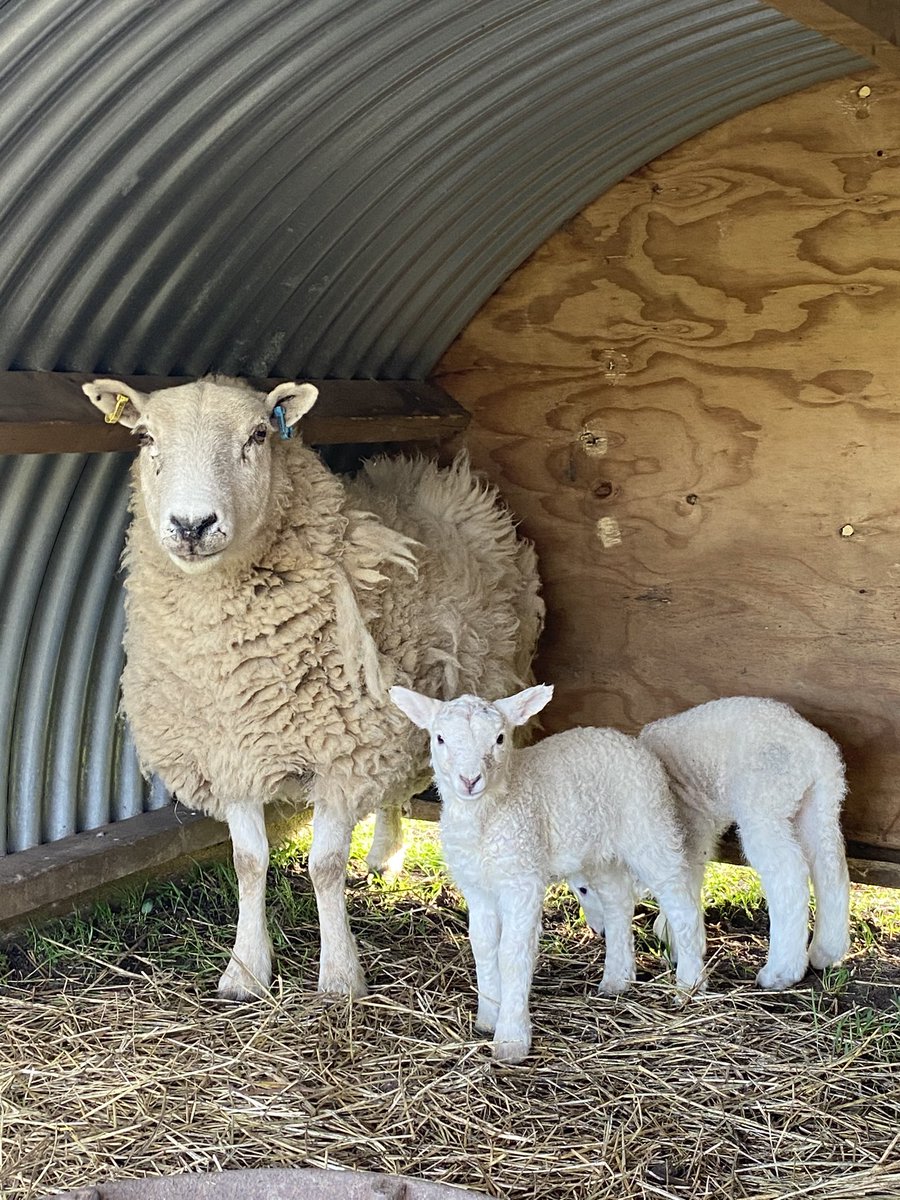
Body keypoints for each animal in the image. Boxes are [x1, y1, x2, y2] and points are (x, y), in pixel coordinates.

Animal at [82, 375, 543, 1000]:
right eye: (146, 437)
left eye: (258, 435)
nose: (191, 526)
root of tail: (432, 471)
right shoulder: (233, 753)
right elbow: (248, 862)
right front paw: (245, 971)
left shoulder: (345, 752)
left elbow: (323, 867)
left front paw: (340, 976)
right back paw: (383, 856)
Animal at [389, 683, 706, 1063]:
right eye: (439, 738)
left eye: (499, 738)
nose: (469, 780)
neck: (488, 815)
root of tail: (625, 741)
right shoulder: (477, 887)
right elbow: (483, 947)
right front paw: (487, 1018)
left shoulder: (521, 877)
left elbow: (512, 953)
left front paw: (511, 1038)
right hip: (600, 853)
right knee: (617, 903)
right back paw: (616, 981)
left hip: (649, 825)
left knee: (680, 903)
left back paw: (689, 985)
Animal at [639, 696, 851, 990]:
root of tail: (815, 750)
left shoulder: (690, 823)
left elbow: (685, 877)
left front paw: (676, 940)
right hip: (820, 802)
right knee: (830, 867)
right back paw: (826, 952)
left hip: (763, 802)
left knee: (789, 875)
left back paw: (780, 972)